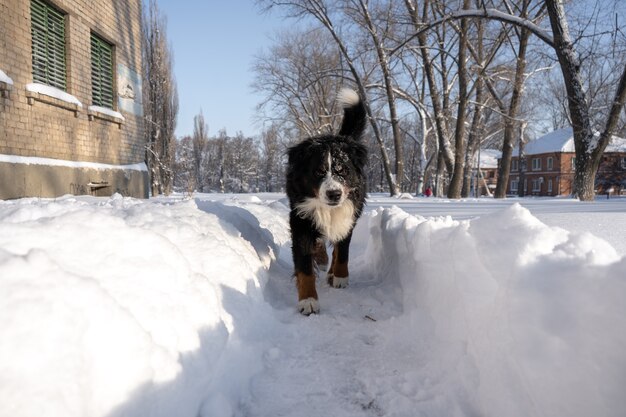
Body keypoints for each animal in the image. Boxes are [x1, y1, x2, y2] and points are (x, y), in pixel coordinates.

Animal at [286, 88, 368, 316]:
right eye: (319, 171)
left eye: (343, 171)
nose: (334, 194)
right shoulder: (300, 218)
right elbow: (305, 264)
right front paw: (308, 300)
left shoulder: (349, 216)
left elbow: (343, 250)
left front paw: (340, 276)